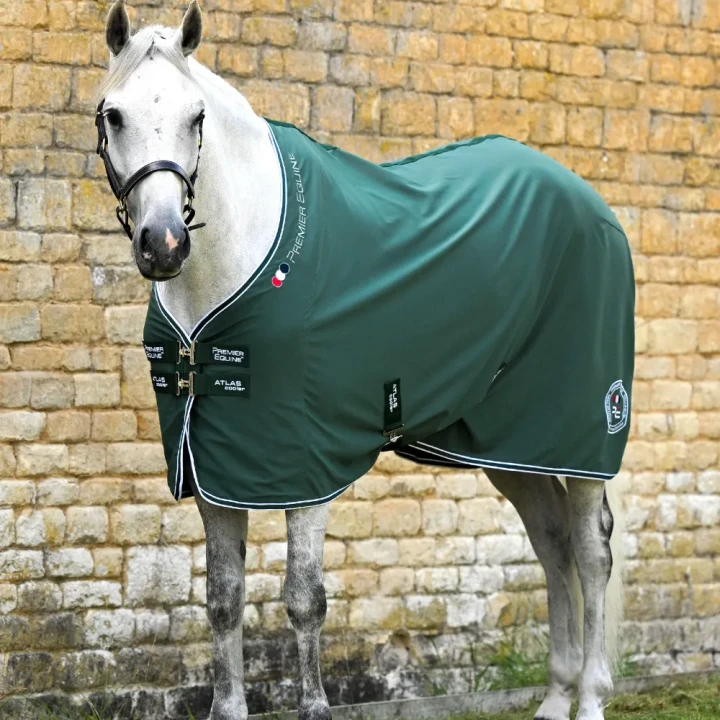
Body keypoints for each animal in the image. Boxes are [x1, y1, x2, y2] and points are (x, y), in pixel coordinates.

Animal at [96, 3, 632, 720]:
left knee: (591, 550)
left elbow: (304, 599)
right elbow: (222, 599)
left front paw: (315, 706)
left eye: (196, 115)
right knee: (552, 542)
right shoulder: (215, 464)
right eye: (114, 114)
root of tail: (594, 205)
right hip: (513, 444)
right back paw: (554, 697)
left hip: (582, 432)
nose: (163, 244)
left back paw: (591, 695)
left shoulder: (300, 464)